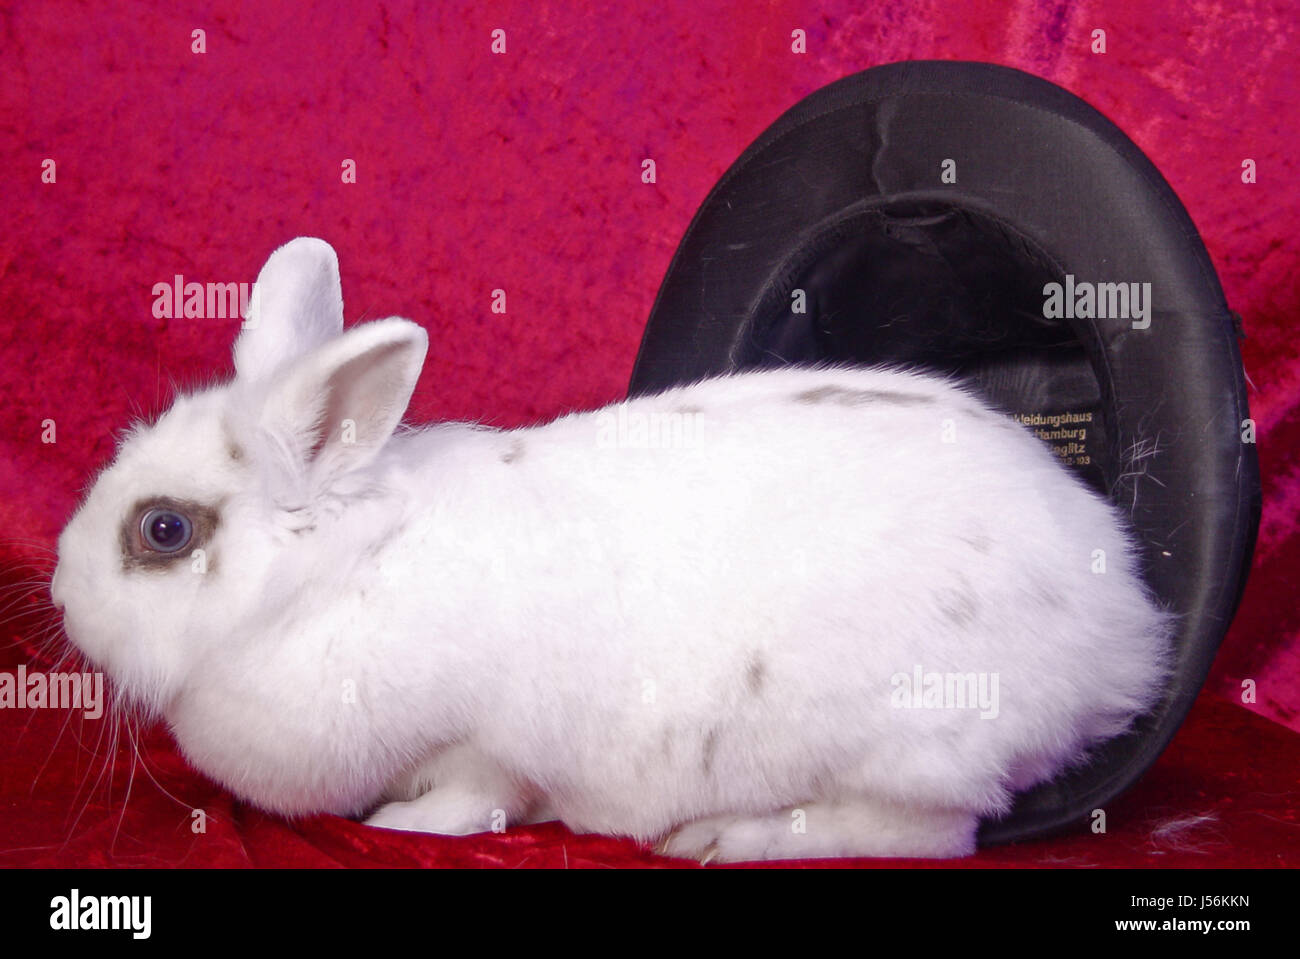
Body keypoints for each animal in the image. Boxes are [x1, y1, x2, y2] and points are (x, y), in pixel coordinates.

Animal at [50, 237, 1173, 863]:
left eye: (163, 530)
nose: (57, 590)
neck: (333, 579)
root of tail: (1127, 634)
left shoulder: (485, 744)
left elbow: (475, 797)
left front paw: (409, 825)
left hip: (907, 747)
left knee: (927, 835)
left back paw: (728, 838)